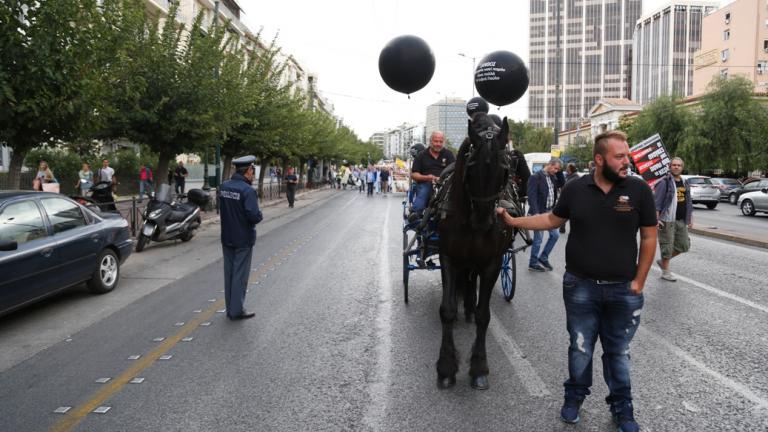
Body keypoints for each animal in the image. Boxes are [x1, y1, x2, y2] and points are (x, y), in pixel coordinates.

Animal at [438, 111, 516, 388]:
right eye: (471, 168)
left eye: (505, 169)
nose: (484, 222)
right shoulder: (448, 258)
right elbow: (447, 310)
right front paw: (446, 367)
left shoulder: (492, 263)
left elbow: (484, 315)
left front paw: (479, 367)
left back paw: (470, 307)